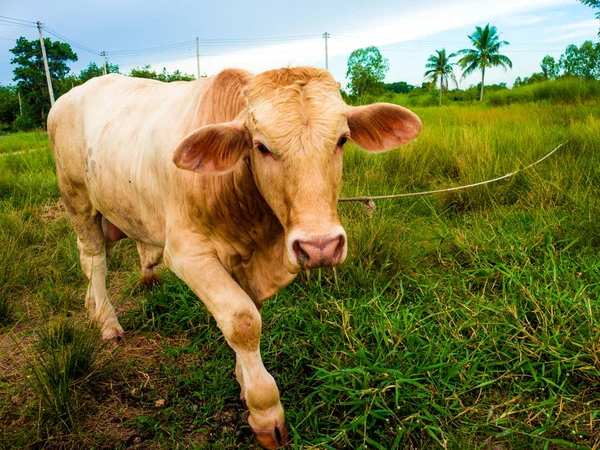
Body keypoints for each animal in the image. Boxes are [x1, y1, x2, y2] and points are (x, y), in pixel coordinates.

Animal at [48, 66, 422, 446]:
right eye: (261, 147)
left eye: (342, 140)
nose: (320, 247)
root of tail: (69, 96)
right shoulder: (187, 254)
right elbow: (243, 322)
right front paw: (265, 410)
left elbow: (251, 313)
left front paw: (244, 383)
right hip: (78, 200)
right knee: (93, 259)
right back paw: (107, 322)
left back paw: (92, 307)